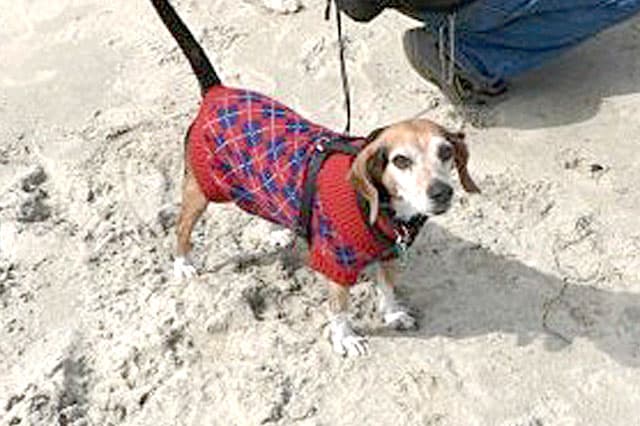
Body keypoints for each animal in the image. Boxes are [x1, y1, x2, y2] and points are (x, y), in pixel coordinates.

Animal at [150, 0, 480, 356]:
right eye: (401, 161)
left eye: (446, 152)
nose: (441, 192)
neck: (380, 208)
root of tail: (216, 92)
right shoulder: (335, 262)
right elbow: (340, 307)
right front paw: (345, 338)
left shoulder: (389, 256)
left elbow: (388, 287)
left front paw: (393, 315)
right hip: (200, 190)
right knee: (182, 228)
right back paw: (183, 263)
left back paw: (277, 230)